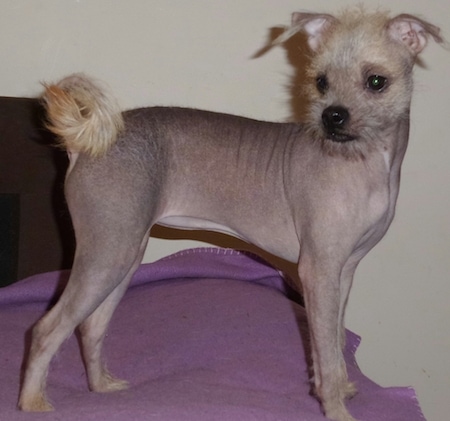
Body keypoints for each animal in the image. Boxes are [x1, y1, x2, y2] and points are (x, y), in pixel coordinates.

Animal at [18, 7, 442, 420]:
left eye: (376, 82)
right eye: (321, 82)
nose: (331, 116)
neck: (365, 160)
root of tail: (84, 144)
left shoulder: (345, 272)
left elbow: (334, 343)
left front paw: (341, 387)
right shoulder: (319, 272)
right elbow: (325, 352)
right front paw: (336, 409)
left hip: (124, 255)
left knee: (90, 326)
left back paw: (102, 388)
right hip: (108, 253)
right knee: (47, 328)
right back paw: (32, 403)